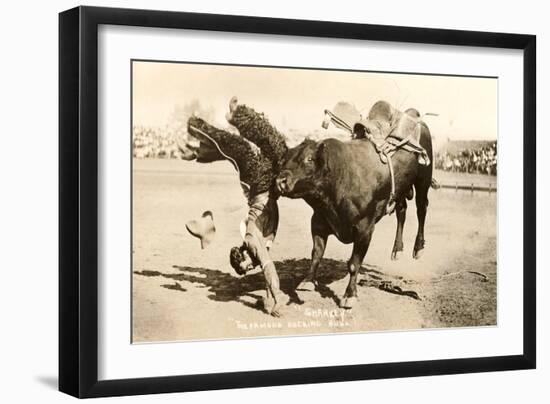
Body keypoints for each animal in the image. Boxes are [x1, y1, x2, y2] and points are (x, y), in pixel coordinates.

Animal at [183, 98, 438, 312]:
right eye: (285, 159)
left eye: (308, 160)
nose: (279, 181)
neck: (338, 181)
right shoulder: (318, 220)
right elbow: (316, 253)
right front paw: (307, 281)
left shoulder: (365, 228)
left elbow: (354, 263)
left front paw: (349, 296)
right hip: (402, 189)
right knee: (402, 211)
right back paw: (397, 249)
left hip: (423, 179)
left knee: (422, 209)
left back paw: (418, 248)